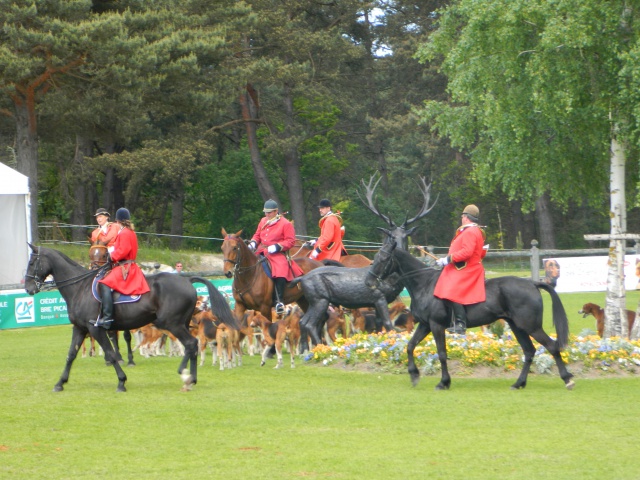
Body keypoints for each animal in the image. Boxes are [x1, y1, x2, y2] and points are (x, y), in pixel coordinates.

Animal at [23, 246, 240, 392]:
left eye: (32, 262)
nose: (28, 288)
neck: (80, 288)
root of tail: (186, 280)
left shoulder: (95, 329)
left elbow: (111, 354)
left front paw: (121, 381)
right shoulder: (80, 328)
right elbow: (71, 355)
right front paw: (60, 383)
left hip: (173, 324)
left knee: (190, 344)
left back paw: (186, 376)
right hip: (181, 324)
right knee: (191, 346)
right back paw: (191, 379)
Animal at [364, 242, 576, 392]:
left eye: (383, 258)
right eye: (376, 256)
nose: (368, 281)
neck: (424, 283)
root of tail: (532, 283)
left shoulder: (436, 325)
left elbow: (441, 353)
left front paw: (444, 382)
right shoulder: (425, 325)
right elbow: (409, 346)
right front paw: (414, 375)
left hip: (530, 326)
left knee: (552, 346)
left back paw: (567, 379)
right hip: (517, 327)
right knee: (529, 351)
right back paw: (519, 383)